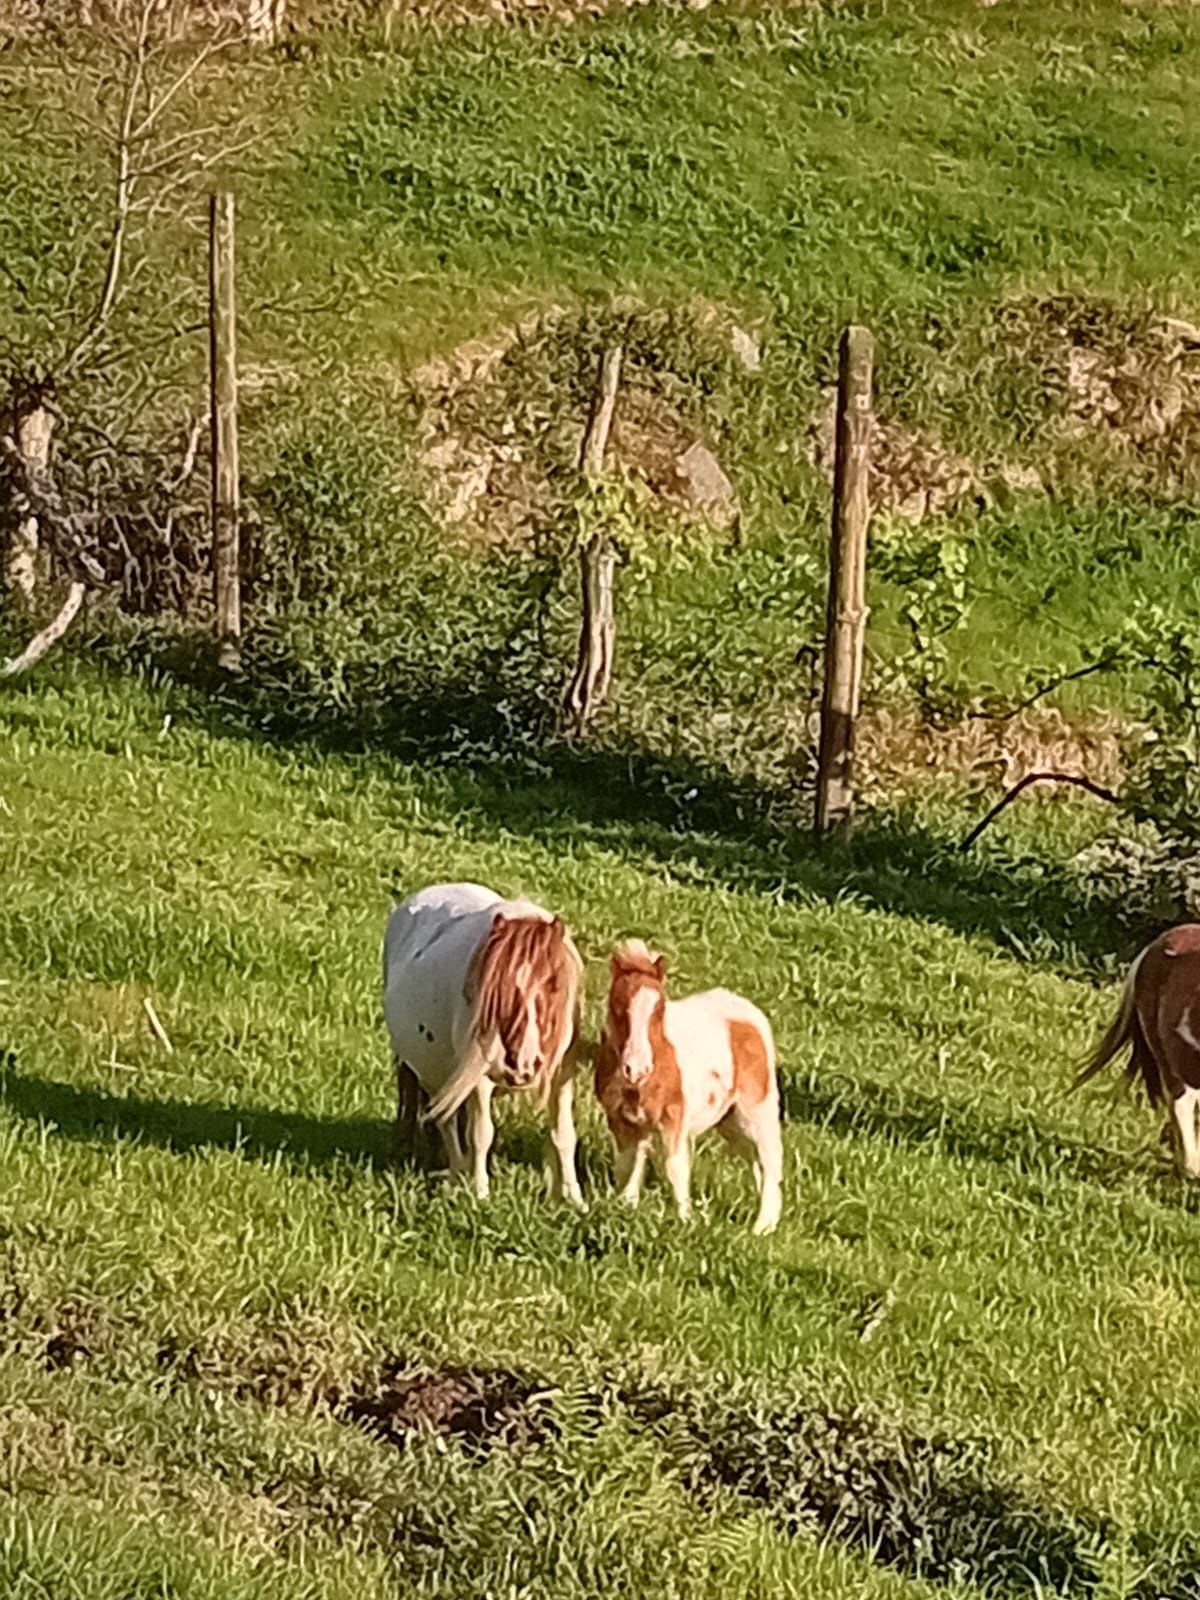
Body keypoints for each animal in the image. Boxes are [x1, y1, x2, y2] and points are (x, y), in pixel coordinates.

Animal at [382, 889, 585, 1203]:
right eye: (499, 987)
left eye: (553, 983)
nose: (523, 1066)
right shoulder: (479, 1080)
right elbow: (481, 1135)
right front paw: (480, 1193)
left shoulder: (561, 1074)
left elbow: (563, 1134)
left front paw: (574, 1198)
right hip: (431, 1071)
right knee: (445, 1121)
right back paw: (457, 1175)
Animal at [598, 940, 784, 1228]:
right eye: (617, 1006)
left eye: (660, 1009)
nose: (636, 1068)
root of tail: (750, 1014)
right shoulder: (623, 1121)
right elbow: (628, 1165)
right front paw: (625, 1209)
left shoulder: (673, 1119)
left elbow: (675, 1167)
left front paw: (685, 1220)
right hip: (730, 1119)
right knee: (753, 1158)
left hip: (756, 1108)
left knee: (770, 1159)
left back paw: (762, 1226)